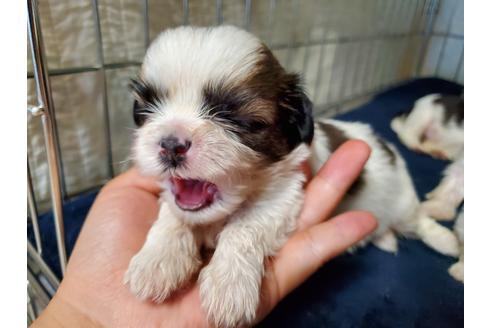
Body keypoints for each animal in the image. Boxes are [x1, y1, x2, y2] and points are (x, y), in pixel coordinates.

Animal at [125, 26, 460, 328]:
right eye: (145, 111)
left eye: (239, 119)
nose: (170, 144)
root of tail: (389, 145)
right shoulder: (176, 199)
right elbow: (172, 217)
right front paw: (156, 261)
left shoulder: (282, 195)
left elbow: (243, 228)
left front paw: (229, 285)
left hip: (403, 203)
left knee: (419, 222)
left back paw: (447, 241)